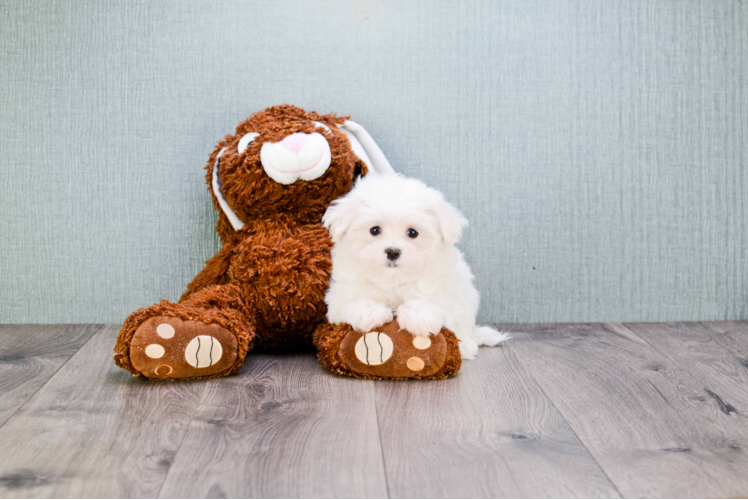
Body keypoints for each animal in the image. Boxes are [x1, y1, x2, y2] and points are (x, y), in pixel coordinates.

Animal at [322, 174, 508, 358]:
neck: (392, 280)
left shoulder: (442, 290)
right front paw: (369, 311)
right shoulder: (340, 297)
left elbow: (433, 304)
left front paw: (417, 315)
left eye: (412, 233)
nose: (393, 251)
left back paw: (465, 346)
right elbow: (351, 303)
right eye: (374, 230)